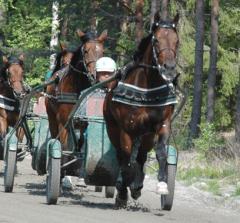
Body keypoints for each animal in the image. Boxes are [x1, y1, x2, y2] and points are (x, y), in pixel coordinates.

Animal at [104, 12, 179, 207]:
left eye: (176, 41)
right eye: (157, 40)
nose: (169, 68)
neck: (146, 91)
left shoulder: (162, 124)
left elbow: (161, 153)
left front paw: (162, 184)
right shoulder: (126, 129)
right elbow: (126, 161)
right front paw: (123, 191)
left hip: (146, 135)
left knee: (141, 155)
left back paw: (137, 184)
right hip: (113, 129)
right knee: (123, 157)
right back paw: (125, 187)